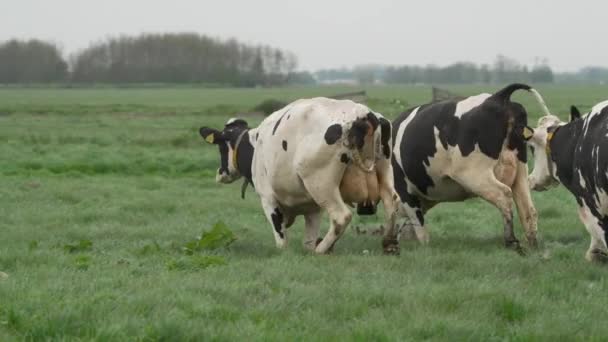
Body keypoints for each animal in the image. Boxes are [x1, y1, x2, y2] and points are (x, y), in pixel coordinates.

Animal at [200, 97, 400, 252]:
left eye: (220, 146)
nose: (220, 173)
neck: (256, 145)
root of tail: (363, 113)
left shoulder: (268, 199)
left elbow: (281, 239)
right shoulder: (312, 207)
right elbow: (308, 240)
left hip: (321, 184)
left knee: (341, 216)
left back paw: (322, 249)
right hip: (384, 170)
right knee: (391, 202)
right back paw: (388, 242)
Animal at [390, 84, 552, 252]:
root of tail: (498, 97)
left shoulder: (404, 191)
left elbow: (418, 224)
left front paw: (423, 245)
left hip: (475, 175)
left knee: (504, 196)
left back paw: (511, 241)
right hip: (520, 174)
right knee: (528, 209)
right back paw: (533, 244)